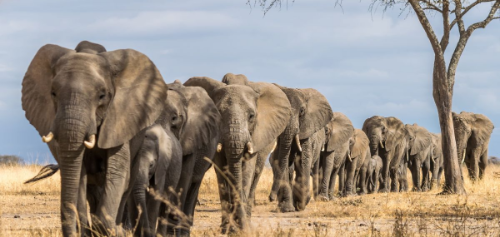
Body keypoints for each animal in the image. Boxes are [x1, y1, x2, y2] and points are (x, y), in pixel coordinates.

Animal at [21, 41, 167, 235]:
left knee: (126, 185)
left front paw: (112, 230)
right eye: (53, 93)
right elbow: (78, 175)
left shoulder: (119, 121)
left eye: (102, 96)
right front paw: (88, 229)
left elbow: (117, 172)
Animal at [185, 76, 292, 233]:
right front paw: (227, 229)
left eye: (251, 116)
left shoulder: (255, 136)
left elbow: (247, 171)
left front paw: (241, 229)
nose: (271, 199)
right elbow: (222, 172)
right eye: (218, 114)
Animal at [268, 84, 334, 212]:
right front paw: (288, 208)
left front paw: (300, 204)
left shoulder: (306, 130)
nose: (270, 198)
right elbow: (281, 161)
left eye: (302, 111)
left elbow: (303, 160)